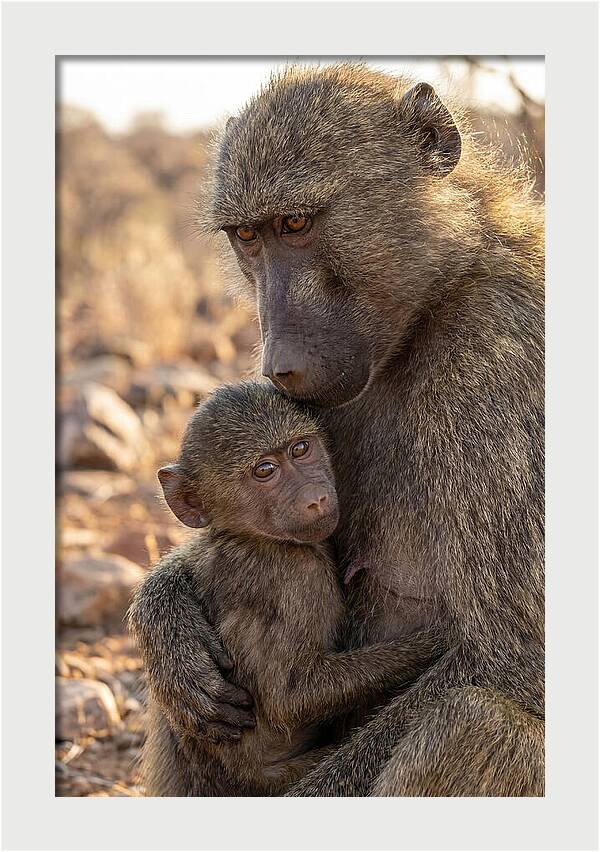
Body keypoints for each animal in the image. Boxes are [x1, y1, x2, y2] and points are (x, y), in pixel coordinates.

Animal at [129, 381, 442, 796]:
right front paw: (436, 642)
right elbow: (290, 698)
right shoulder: (297, 577)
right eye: (265, 471)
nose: (316, 498)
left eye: (300, 449)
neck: (250, 537)